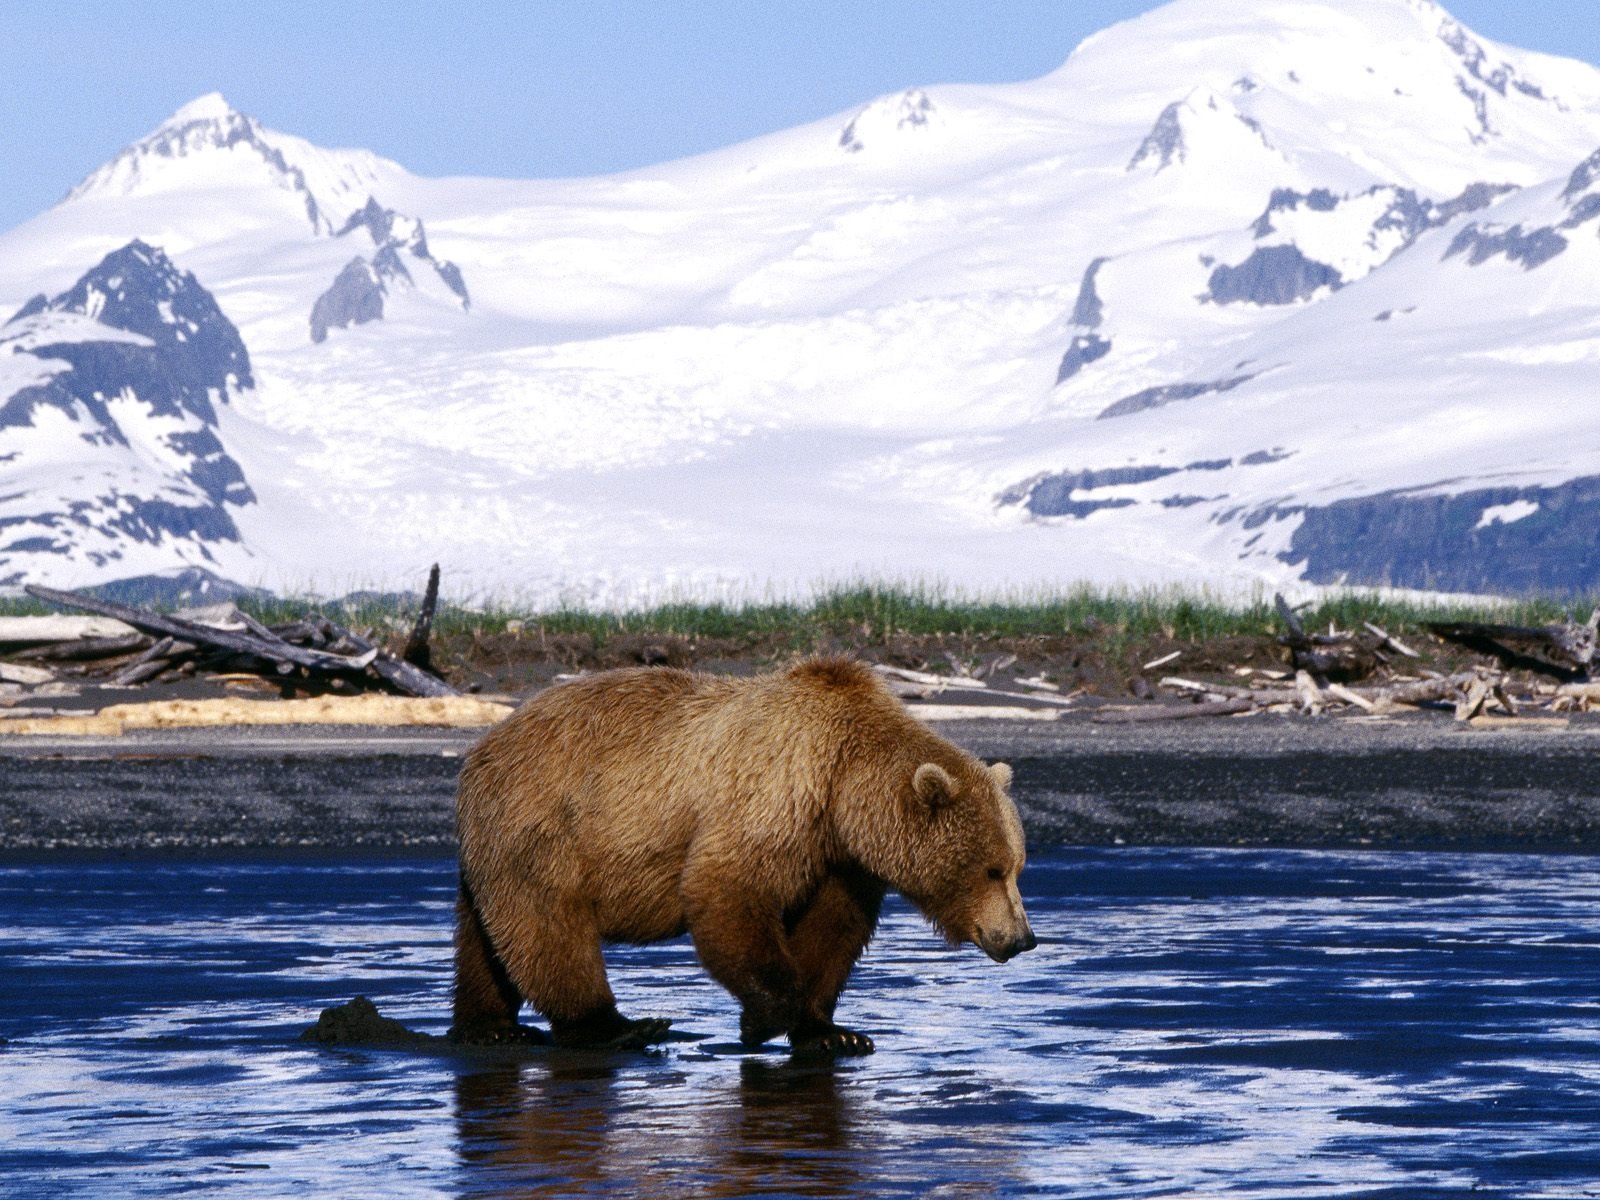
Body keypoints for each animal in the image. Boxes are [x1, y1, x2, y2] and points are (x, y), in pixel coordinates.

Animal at [448, 652, 1036, 1056]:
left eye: (1017, 867)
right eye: (991, 869)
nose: (1022, 938)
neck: (843, 784)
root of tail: (480, 747)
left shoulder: (840, 858)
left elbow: (832, 930)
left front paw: (833, 1033)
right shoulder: (778, 793)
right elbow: (727, 887)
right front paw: (762, 1020)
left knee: (486, 937)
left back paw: (490, 1026)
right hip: (545, 823)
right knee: (548, 924)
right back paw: (616, 1026)